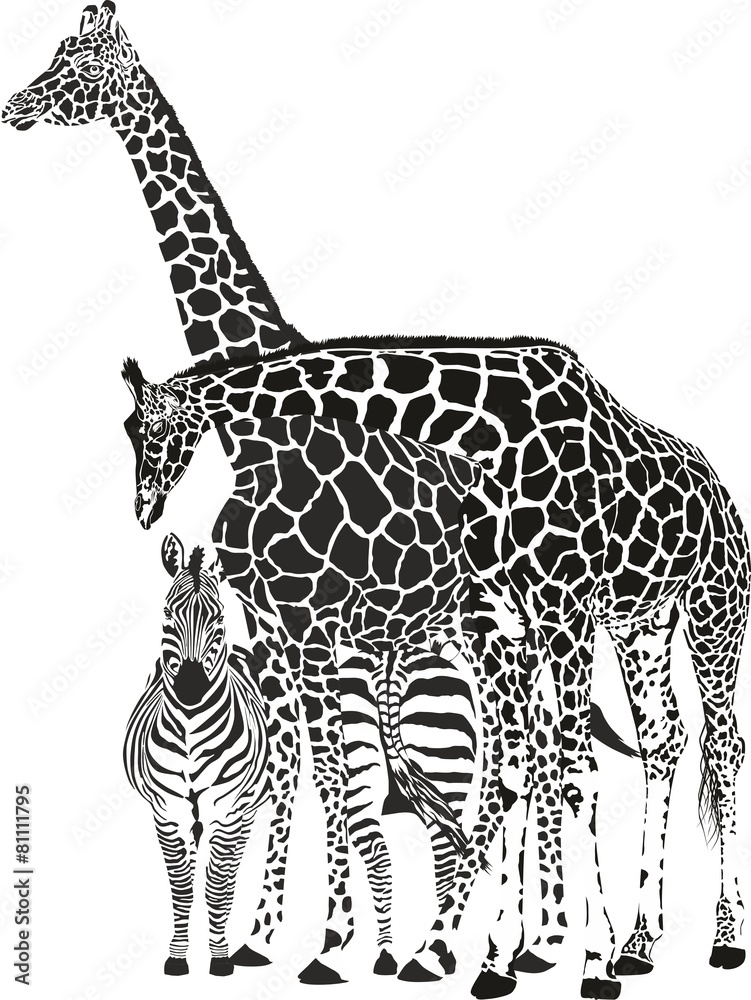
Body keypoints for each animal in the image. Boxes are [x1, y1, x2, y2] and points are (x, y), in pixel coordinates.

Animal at [123, 534, 270, 977]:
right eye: (168, 614)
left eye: (218, 619)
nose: (190, 688)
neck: (190, 735)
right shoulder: (168, 810)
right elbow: (183, 886)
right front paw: (177, 957)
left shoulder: (229, 810)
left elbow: (218, 886)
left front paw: (219, 959)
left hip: (245, 811)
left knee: (228, 875)